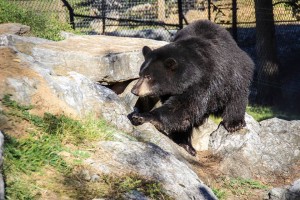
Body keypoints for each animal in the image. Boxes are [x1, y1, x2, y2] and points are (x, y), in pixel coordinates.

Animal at [130, 19, 254, 155]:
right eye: (140, 74)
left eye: (148, 76)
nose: (134, 90)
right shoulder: (171, 91)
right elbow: (183, 114)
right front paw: (183, 142)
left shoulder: (204, 81)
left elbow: (183, 107)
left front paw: (141, 116)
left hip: (235, 73)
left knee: (237, 96)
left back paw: (234, 123)